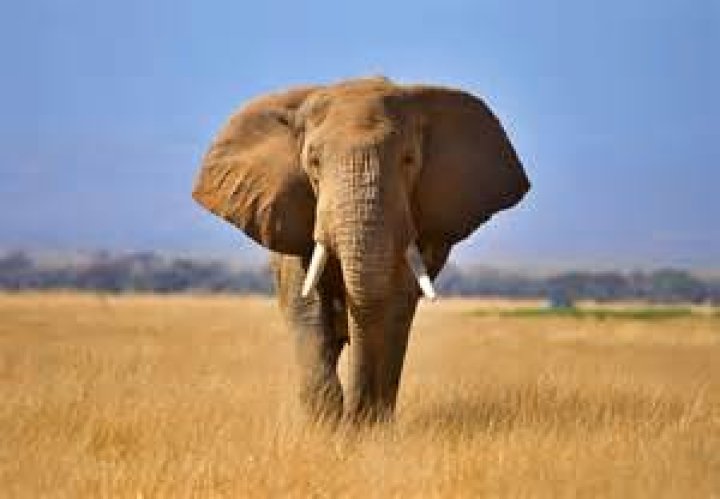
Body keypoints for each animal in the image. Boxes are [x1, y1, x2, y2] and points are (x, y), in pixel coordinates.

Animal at [192, 77, 530, 423]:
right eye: (313, 162)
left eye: (409, 160)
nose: (352, 418)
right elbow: (306, 305)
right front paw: (326, 427)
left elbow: (393, 305)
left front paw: (366, 426)